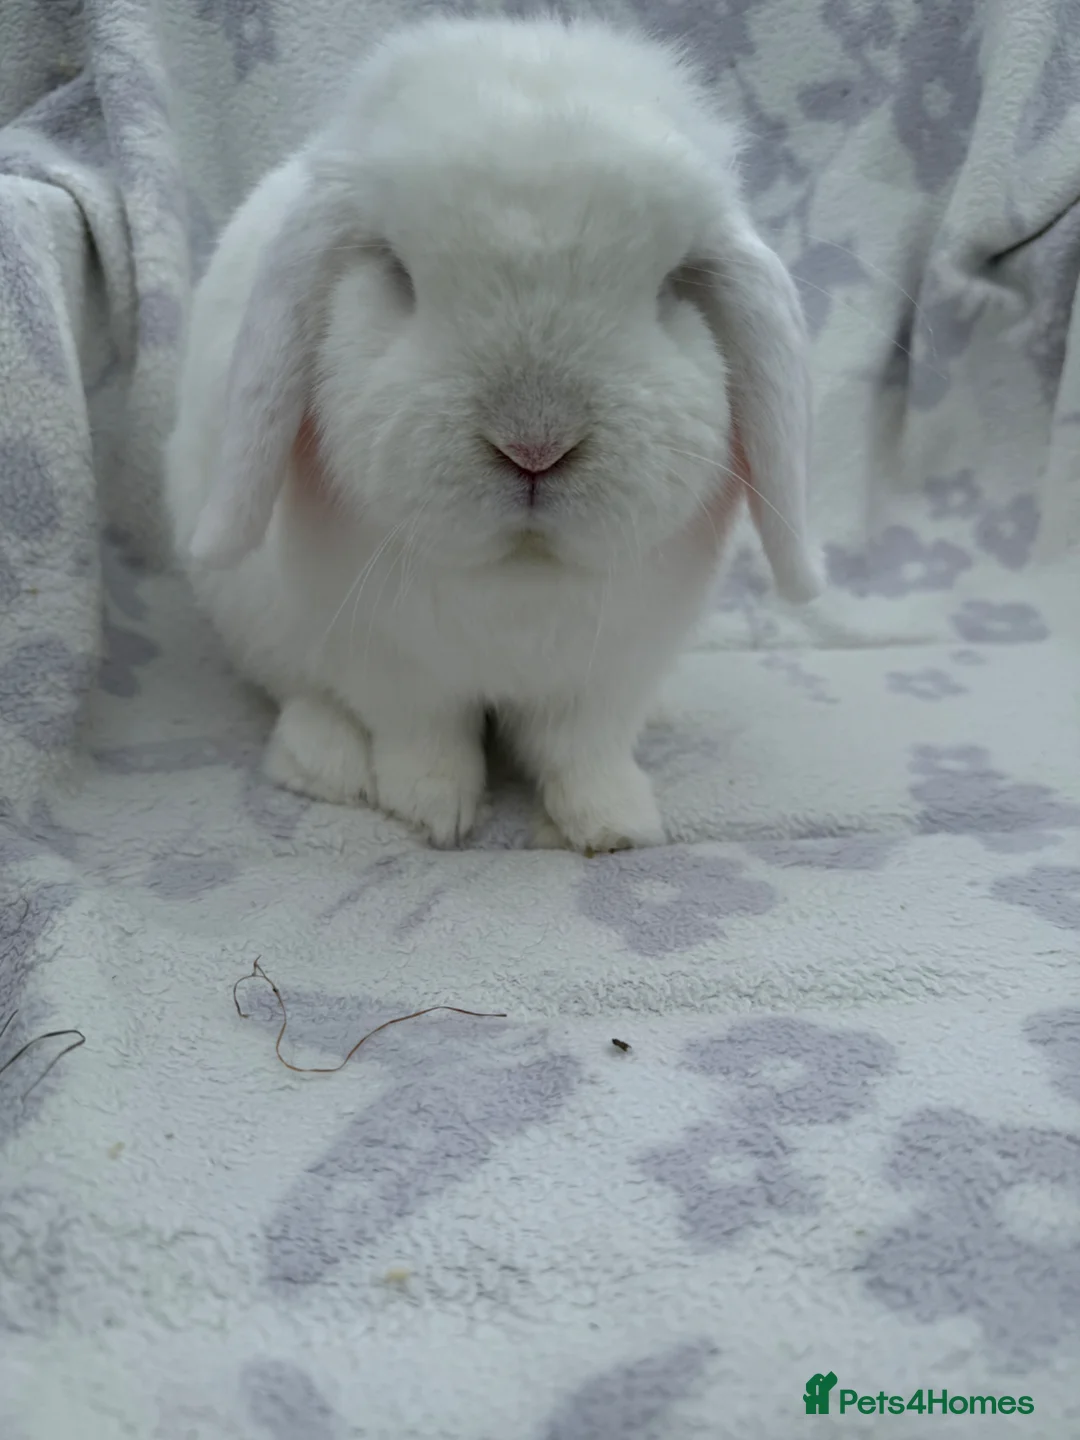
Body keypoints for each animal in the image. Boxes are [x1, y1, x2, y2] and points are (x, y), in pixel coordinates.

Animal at [163, 11, 823, 853]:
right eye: (398, 274)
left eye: (672, 287)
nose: (535, 447)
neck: (519, 578)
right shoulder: (389, 662)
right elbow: (423, 737)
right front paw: (431, 811)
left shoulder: (610, 674)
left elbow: (584, 751)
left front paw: (614, 826)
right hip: (254, 620)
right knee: (300, 696)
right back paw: (326, 764)